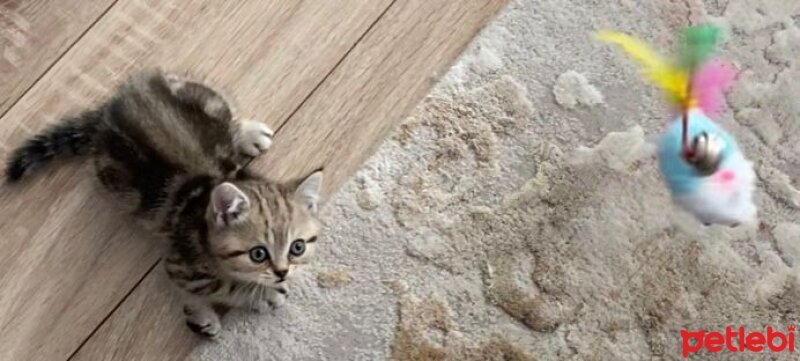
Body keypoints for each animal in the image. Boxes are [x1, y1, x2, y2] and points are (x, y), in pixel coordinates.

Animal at [3, 70, 322, 338]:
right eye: (258, 254)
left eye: (297, 247)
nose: (283, 271)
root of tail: (110, 110)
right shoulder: (178, 262)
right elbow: (219, 286)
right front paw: (254, 295)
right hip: (111, 176)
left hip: (205, 98)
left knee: (228, 117)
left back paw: (249, 133)